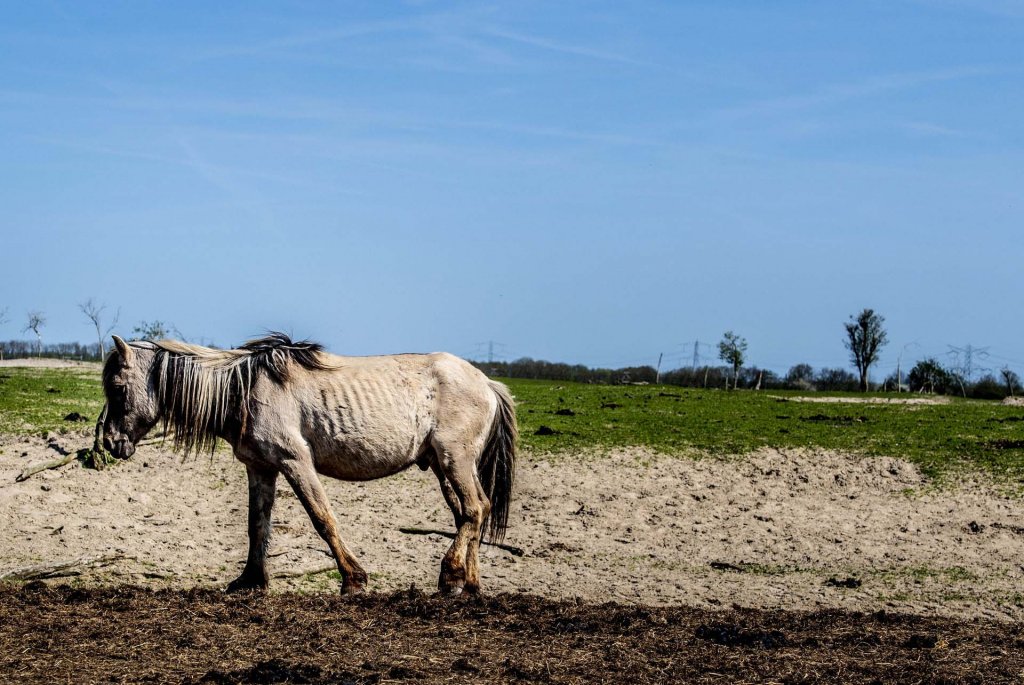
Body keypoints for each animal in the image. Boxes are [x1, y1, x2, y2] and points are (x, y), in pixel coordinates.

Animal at [99, 331, 516, 593]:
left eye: (117, 388)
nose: (109, 442)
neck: (243, 389)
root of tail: (486, 382)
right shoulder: (260, 468)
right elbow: (257, 526)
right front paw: (250, 581)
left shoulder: (295, 462)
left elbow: (322, 519)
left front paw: (353, 579)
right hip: (446, 468)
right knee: (471, 513)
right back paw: (469, 583)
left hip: (454, 460)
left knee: (474, 510)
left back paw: (451, 576)